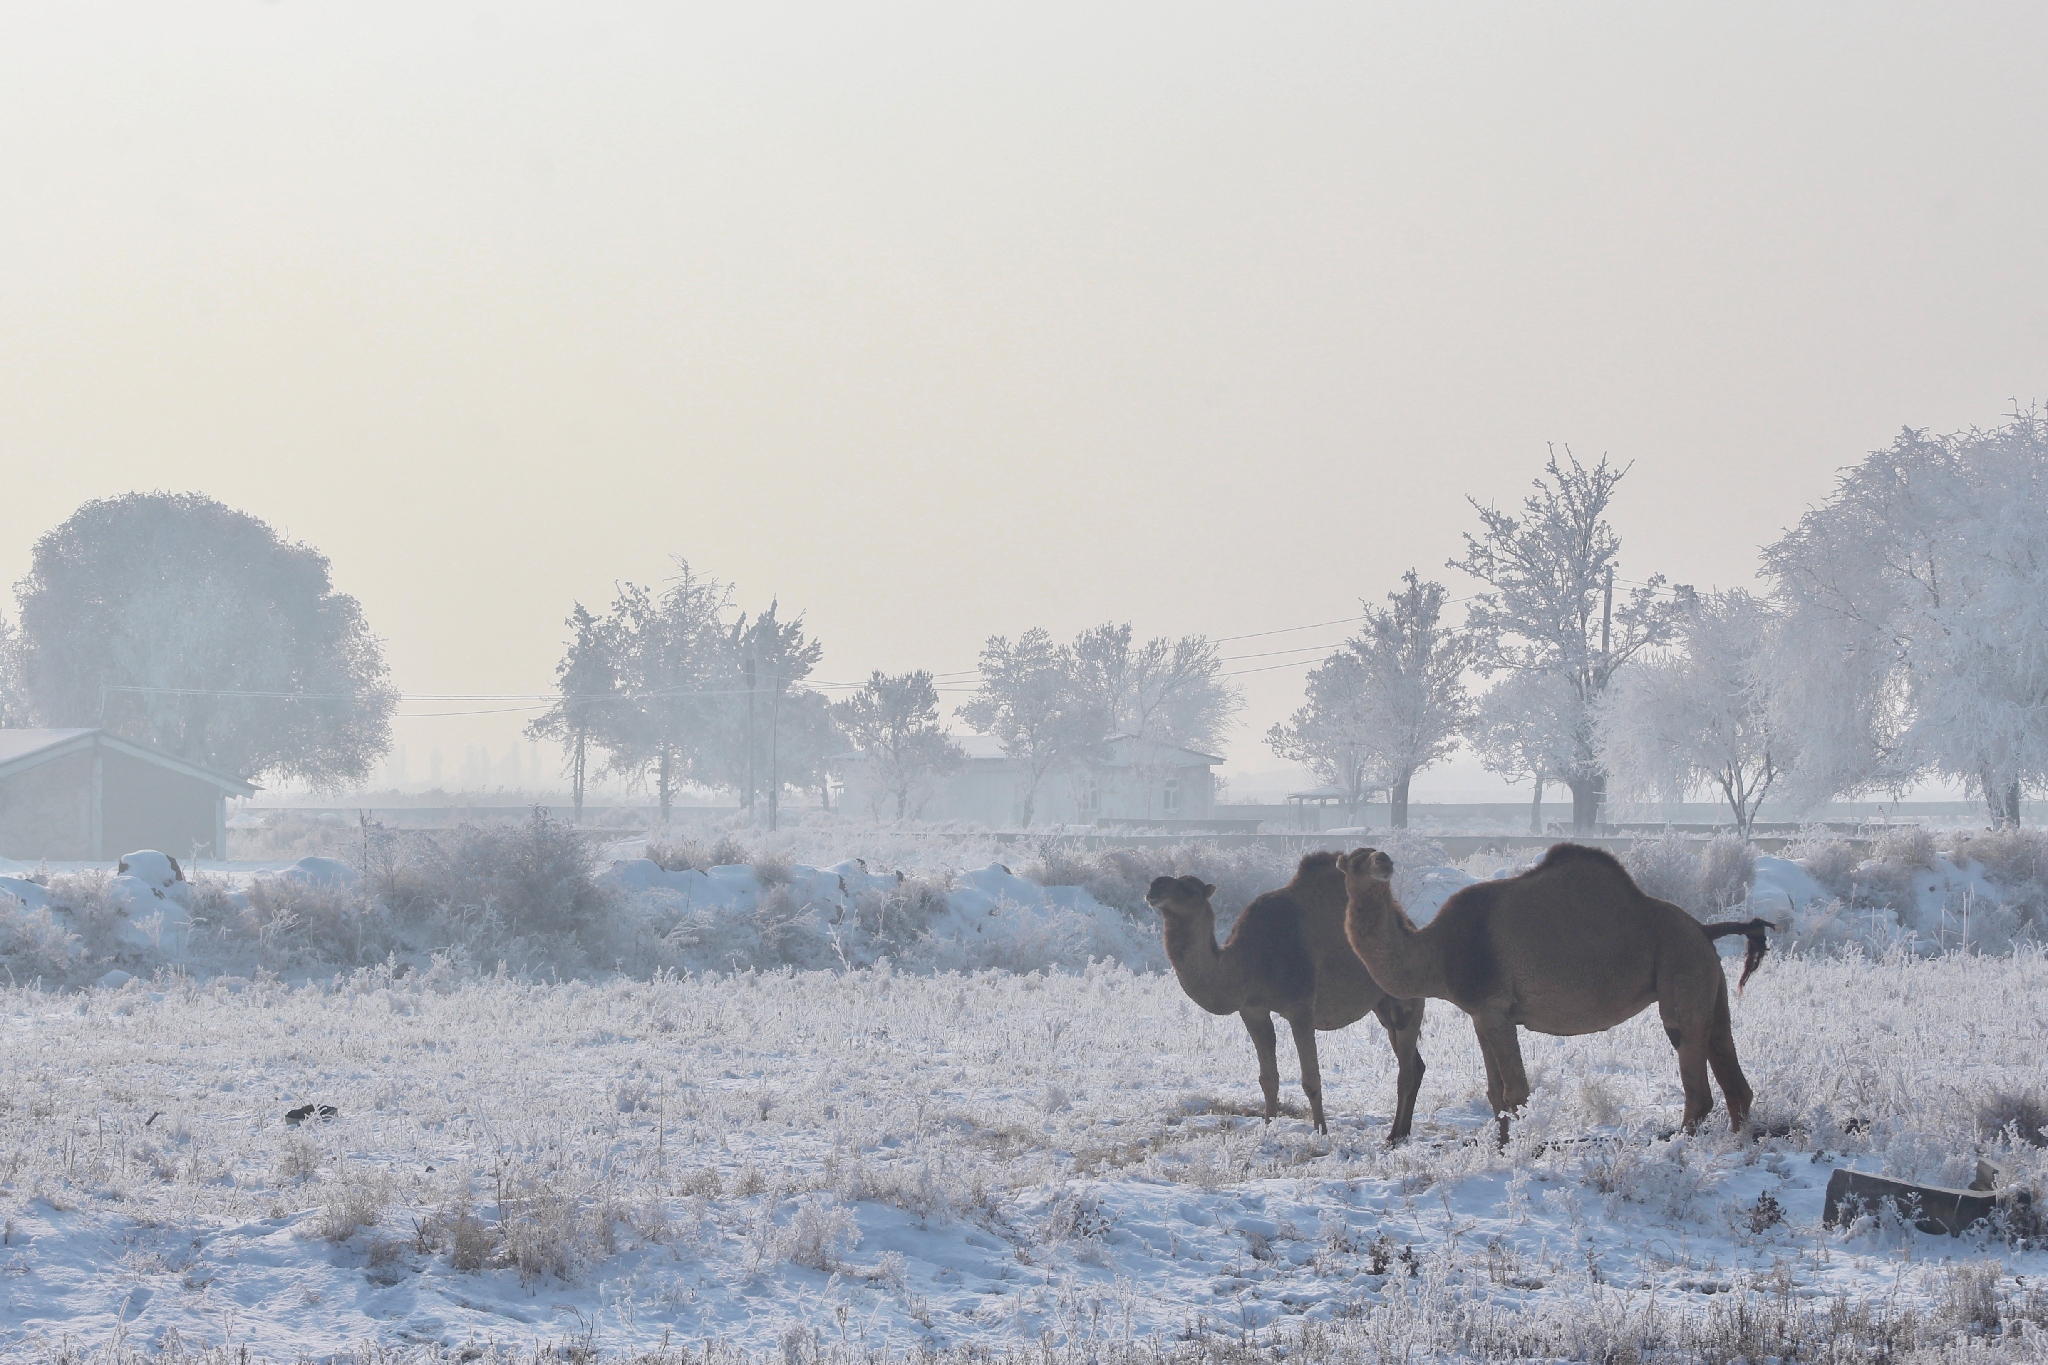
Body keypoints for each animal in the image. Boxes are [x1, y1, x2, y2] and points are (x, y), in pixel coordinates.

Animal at [1155, 855, 1425, 1146]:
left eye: (1190, 889)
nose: (1155, 886)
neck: (1248, 958)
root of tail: (1411, 926)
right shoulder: (1252, 1010)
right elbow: (1268, 1078)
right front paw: (1267, 1127)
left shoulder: (1300, 1007)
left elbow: (1311, 1079)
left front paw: (1321, 1132)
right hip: (1383, 1006)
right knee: (1415, 1064)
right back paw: (1403, 1132)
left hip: (1405, 997)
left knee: (1407, 1070)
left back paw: (1394, 1136)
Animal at [1335, 843, 1769, 1146]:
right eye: (1354, 859)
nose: (1383, 860)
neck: (1438, 952)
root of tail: (1704, 928)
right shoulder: (1481, 1013)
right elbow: (1495, 1092)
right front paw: (1500, 1147)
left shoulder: (1494, 1009)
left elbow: (1515, 1092)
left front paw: (1517, 1152)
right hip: (1710, 982)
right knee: (1732, 1073)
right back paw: (1736, 1147)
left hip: (1682, 971)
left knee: (1697, 1082)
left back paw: (1678, 1148)